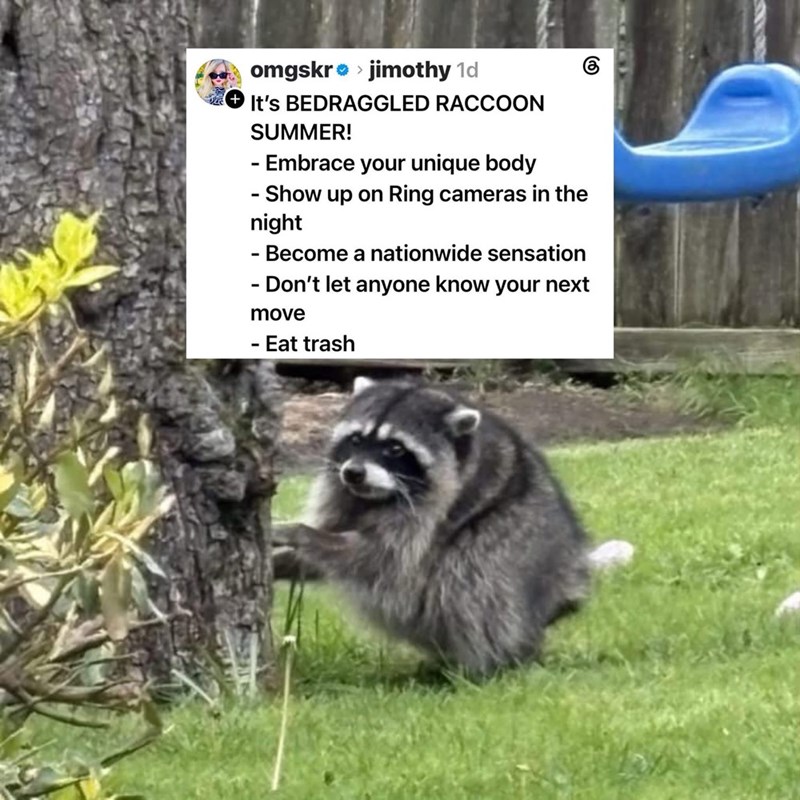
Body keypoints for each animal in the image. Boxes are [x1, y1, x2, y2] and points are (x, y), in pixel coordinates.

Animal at [294, 377, 592, 676]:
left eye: (395, 449)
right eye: (355, 439)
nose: (353, 473)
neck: (377, 498)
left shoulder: (433, 510)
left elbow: (379, 558)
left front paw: (304, 536)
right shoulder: (342, 494)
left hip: (518, 544)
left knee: (472, 573)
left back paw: (486, 665)